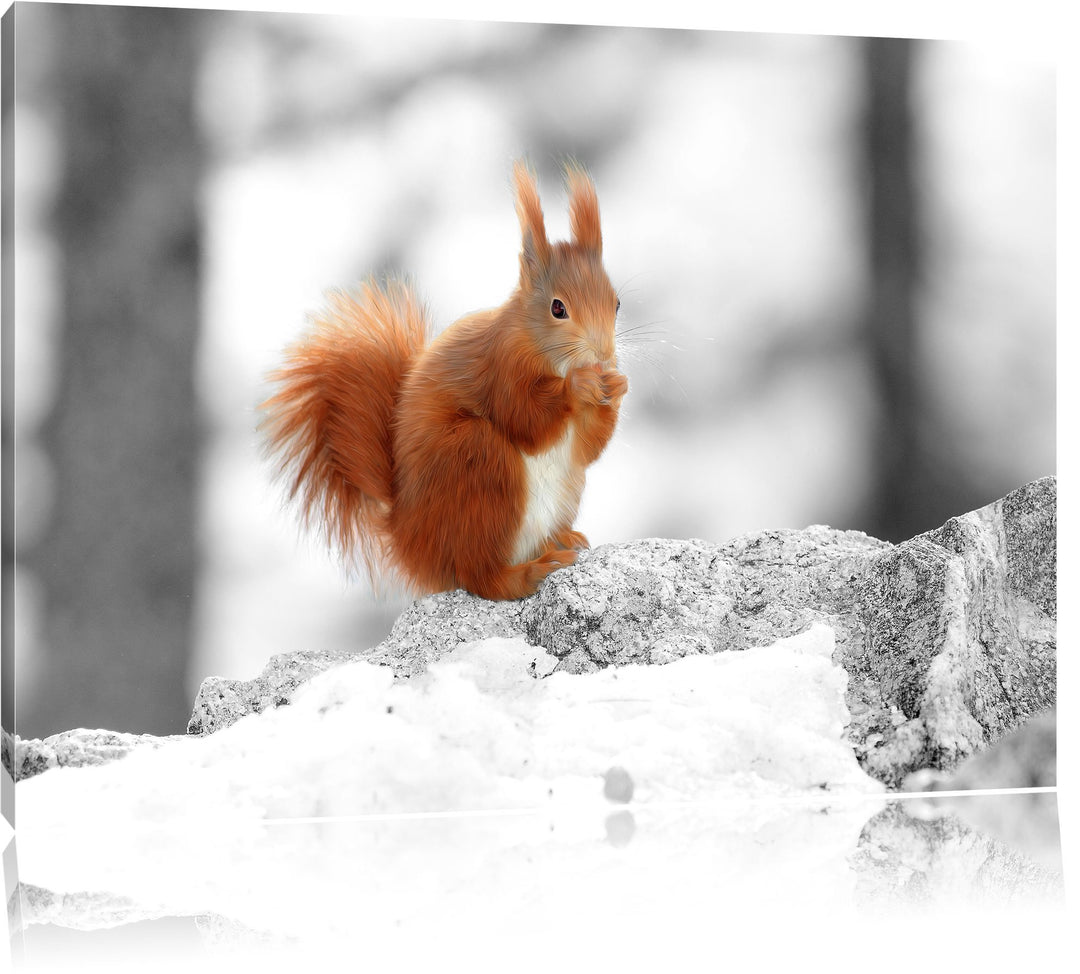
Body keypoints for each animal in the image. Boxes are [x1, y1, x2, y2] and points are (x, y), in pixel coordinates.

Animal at [259, 160, 627, 601]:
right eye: (558, 308)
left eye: (617, 302)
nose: (604, 354)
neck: (548, 355)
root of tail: (409, 541)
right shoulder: (500, 368)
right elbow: (525, 419)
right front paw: (580, 386)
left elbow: (587, 448)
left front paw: (617, 387)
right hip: (476, 465)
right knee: (480, 578)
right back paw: (530, 572)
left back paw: (562, 540)